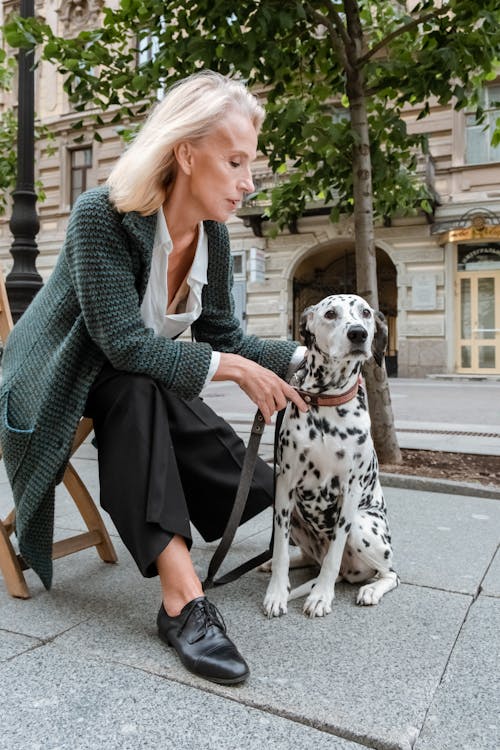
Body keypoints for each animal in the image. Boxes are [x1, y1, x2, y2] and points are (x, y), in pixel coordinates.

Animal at [262, 292, 398, 616]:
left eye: (365, 313)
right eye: (330, 314)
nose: (358, 334)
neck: (327, 402)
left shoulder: (349, 492)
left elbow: (334, 555)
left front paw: (321, 596)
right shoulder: (284, 486)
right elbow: (281, 548)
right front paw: (276, 592)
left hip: (362, 526)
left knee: (389, 573)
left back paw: (371, 589)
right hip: (294, 516)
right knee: (305, 557)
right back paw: (275, 565)